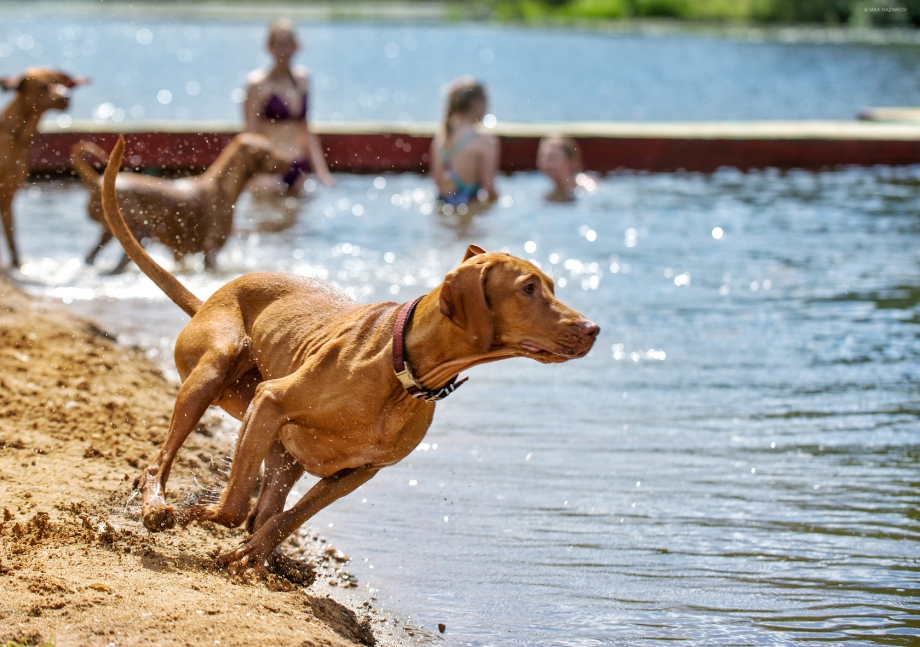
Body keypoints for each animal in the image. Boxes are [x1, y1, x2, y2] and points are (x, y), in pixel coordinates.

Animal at [0, 66, 88, 268]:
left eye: (61, 82)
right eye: (41, 85)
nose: (66, 96)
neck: (18, 136)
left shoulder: (8, 195)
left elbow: (12, 241)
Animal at [74, 133, 292, 272]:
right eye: (270, 150)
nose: (289, 160)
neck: (221, 187)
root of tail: (97, 182)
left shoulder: (181, 254)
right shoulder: (210, 252)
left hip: (109, 233)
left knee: (90, 257)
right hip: (139, 233)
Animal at [100, 135, 600, 576]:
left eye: (551, 285)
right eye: (528, 288)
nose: (593, 330)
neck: (403, 373)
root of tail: (207, 299)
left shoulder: (358, 471)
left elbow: (283, 519)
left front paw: (251, 553)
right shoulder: (270, 401)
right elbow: (232, 506)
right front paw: (194, 512)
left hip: (281, 449)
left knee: (266, 506)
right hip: (216, 370)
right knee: (158, 465)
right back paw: (156, 505)